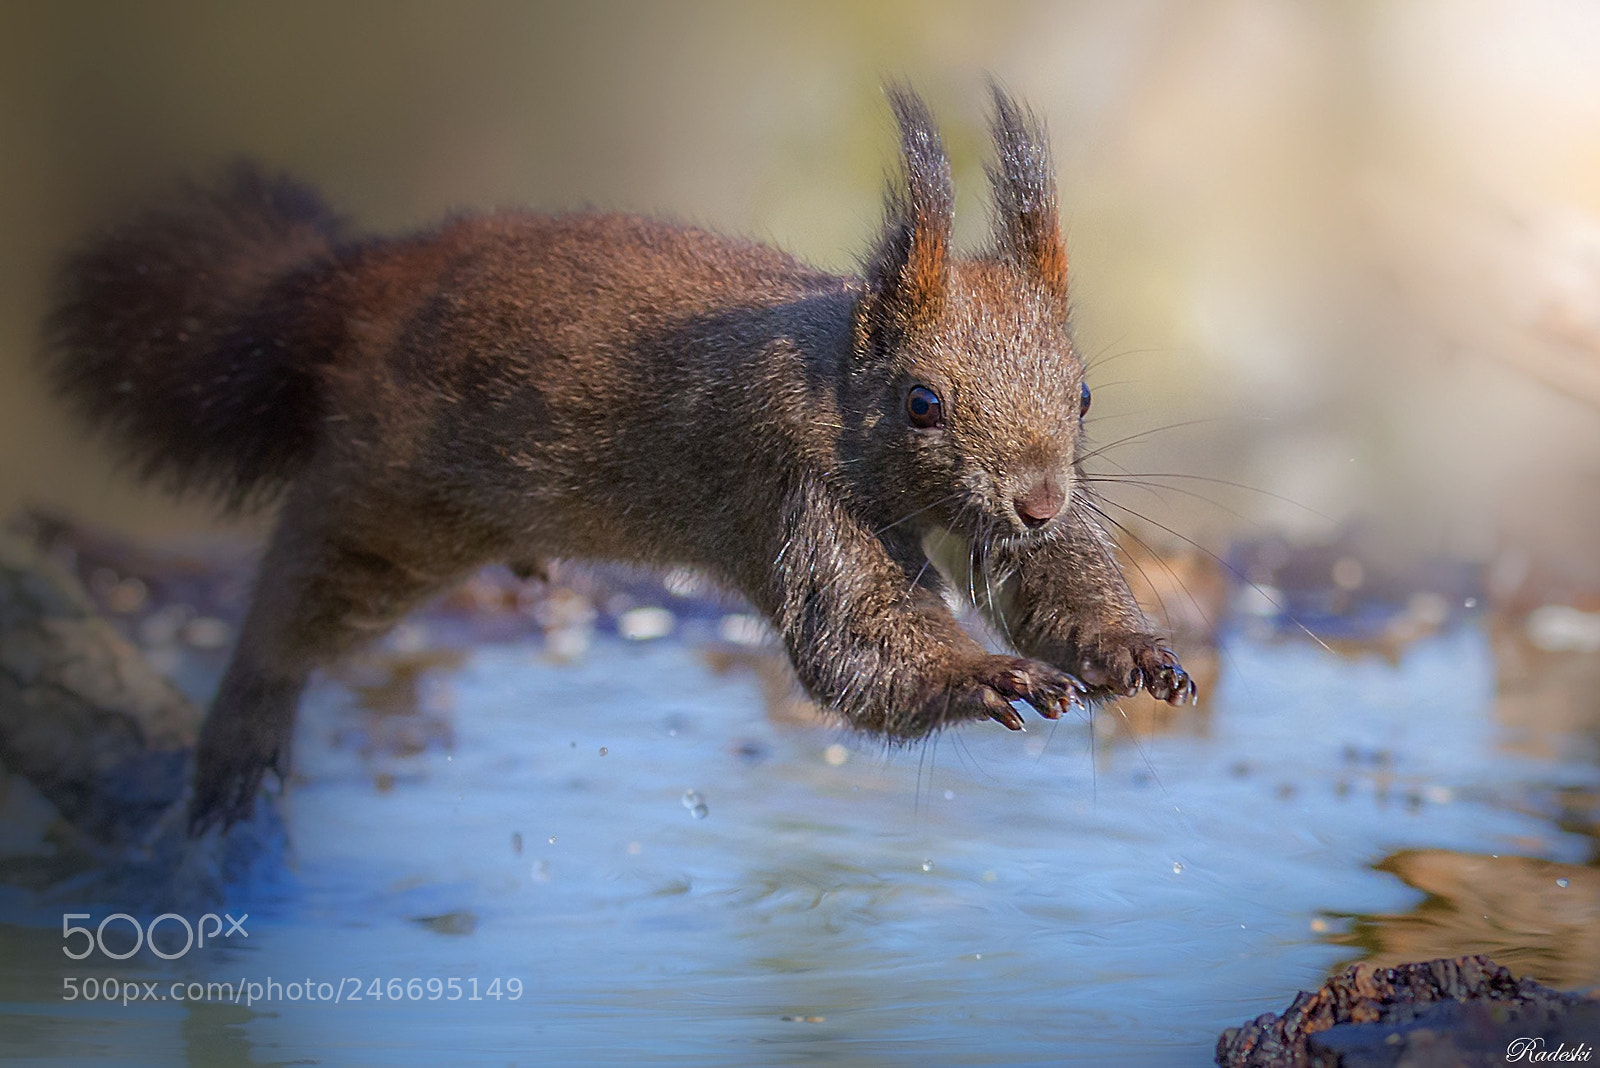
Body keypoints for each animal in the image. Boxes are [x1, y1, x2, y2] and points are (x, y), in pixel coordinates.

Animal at [45, 86, 1195, 835]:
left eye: (1083, 394)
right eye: (923, 404)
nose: (1040, 498)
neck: (835, 385)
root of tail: (371, 282)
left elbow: (1052, 588)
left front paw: (1136, 651)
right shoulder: (794, 488)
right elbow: (860, 648)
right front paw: (986, 670)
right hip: (386, 498)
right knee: (296, 610)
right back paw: (239, 738)